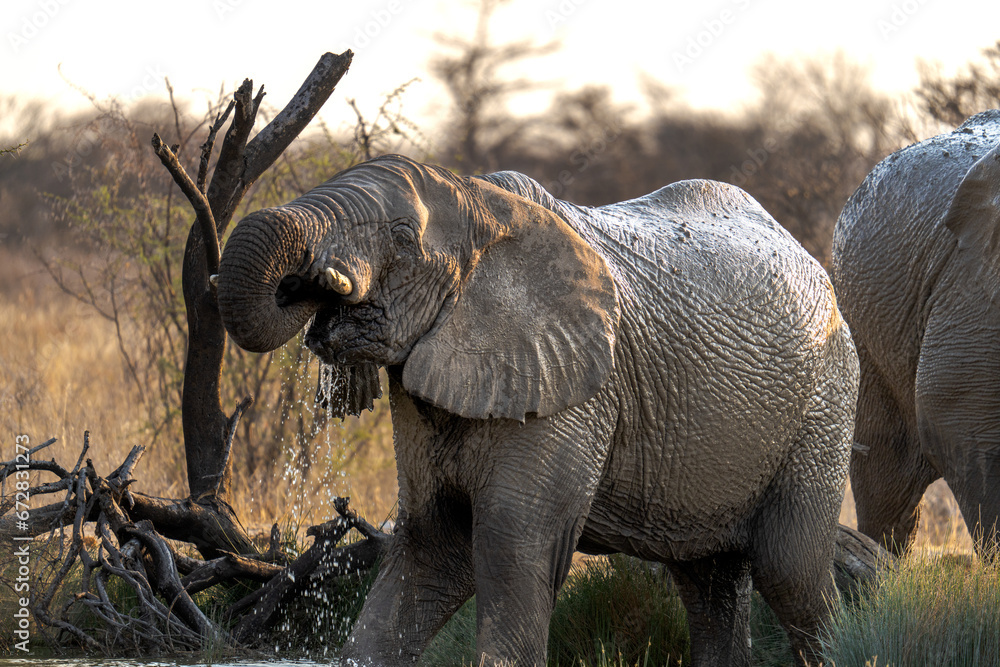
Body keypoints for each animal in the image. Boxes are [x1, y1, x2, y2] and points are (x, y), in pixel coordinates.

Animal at [216, 155, 859, 666]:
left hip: (825, 407)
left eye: (401, 236)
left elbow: (510, 543)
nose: (308, 283)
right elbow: (430, 545)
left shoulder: (576, 385)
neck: (479, 203)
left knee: (791, 571)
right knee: (707, 577)